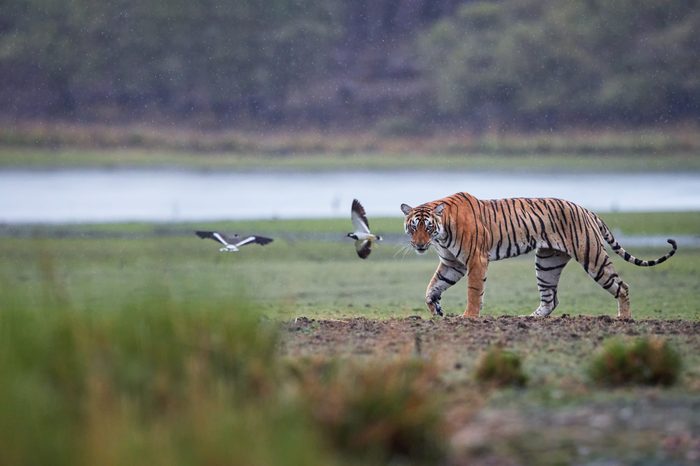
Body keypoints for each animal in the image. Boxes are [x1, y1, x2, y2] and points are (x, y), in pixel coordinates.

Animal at [401, 192, 677, 319]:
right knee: (550, 299)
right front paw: (436, 309)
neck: (442, 232)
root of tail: (586, 209)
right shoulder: (452, 263)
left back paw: (624, 318)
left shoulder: (475, 260)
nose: (419, 245)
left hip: (593, 258)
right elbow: (432, 287)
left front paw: (468, 317)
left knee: (622, 286)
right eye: (413, 227)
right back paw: (531, 318)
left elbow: (473, 291)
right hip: (546, 262)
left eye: (428, 227)